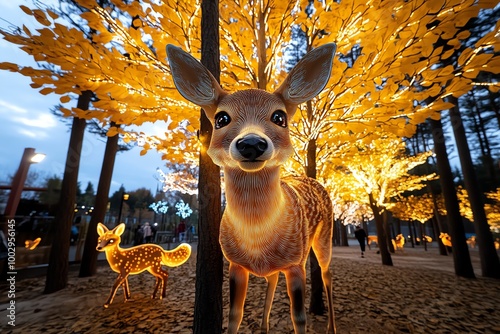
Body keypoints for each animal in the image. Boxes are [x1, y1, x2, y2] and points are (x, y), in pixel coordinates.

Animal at [167, 43, 336, 332]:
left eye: (279, 117)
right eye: (221, 118)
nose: (251, 143)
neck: (257, 239)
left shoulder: (295, 264)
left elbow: (299, 317)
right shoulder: (235, 264)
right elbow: (235, 314)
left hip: (324, 237)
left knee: (326, 275)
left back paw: (331, 327)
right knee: (272, 279)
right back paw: (265, 326)